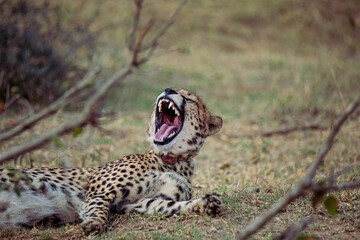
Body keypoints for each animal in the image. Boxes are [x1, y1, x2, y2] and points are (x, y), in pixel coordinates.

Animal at [0, 88, 224, 234]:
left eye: (190, 99)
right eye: (172, 89)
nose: (167, 90)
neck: (170, 160)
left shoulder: (136, 203)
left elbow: (170, 206)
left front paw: (204, 204)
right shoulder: (100, 191)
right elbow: (98, 207)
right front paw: (94, 223)